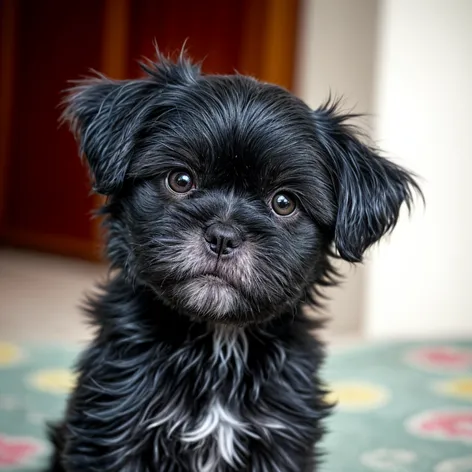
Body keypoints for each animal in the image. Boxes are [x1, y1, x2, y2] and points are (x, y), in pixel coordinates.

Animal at [48, 52, 420, 472]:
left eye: (284, 202)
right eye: (180, 180)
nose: (223, 235)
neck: (219, 343)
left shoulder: (281, 438)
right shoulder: (113, 425)